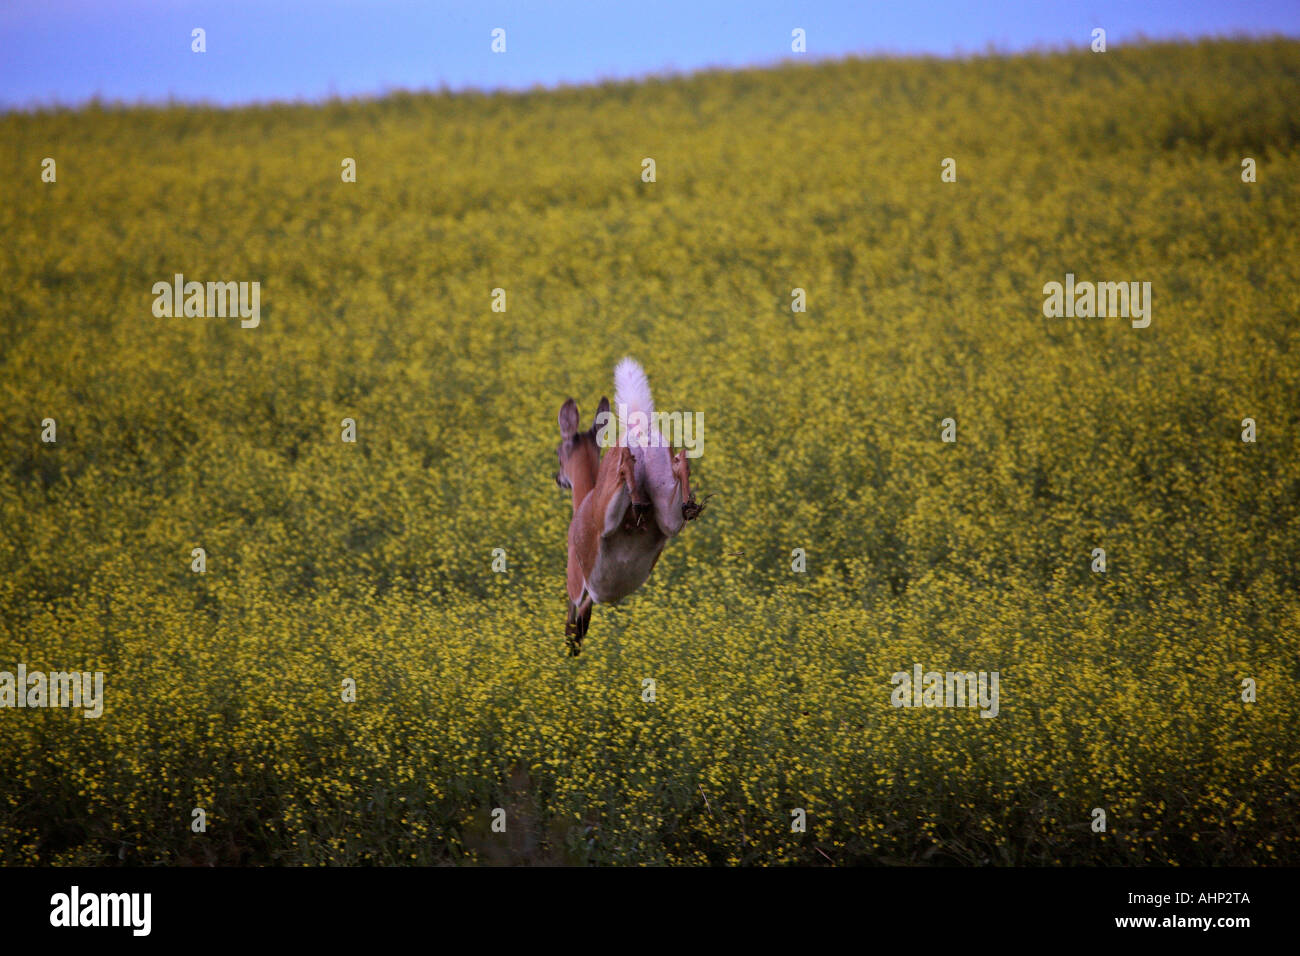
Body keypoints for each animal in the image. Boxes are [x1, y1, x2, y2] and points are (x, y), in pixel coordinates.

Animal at [554, 358, 703, 655]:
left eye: (558, 454)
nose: (558, 478)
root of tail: (639, 430)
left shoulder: (575, 572)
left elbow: (575, 610)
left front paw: (572, 643)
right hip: (667, 514)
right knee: (680, 466)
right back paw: (686, 502)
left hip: (606, 517)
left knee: (623, 466)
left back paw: (636, 493)